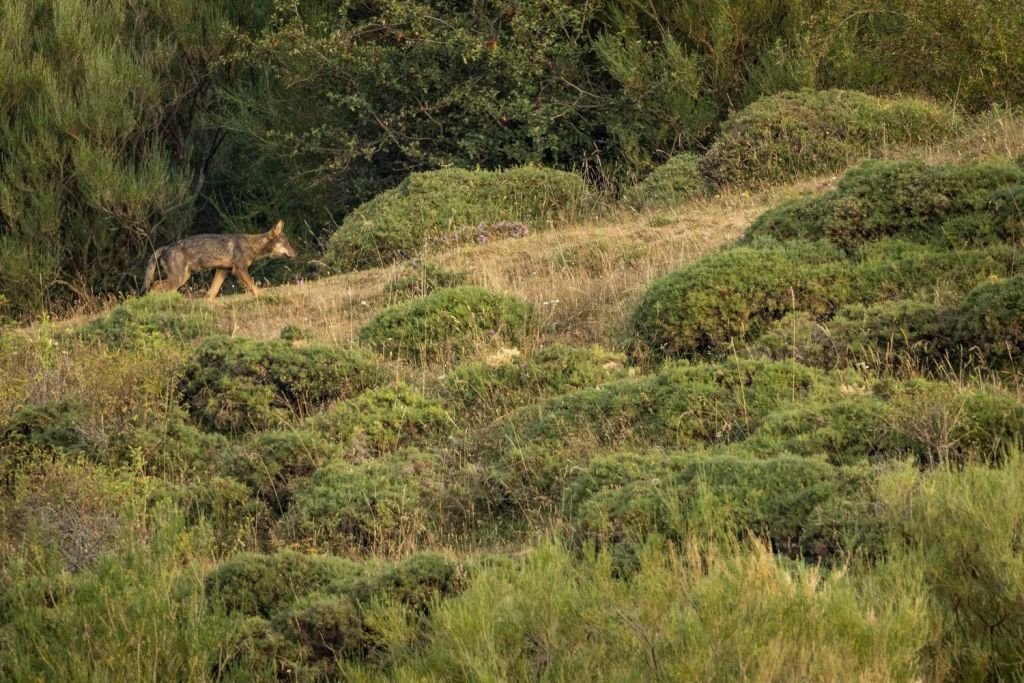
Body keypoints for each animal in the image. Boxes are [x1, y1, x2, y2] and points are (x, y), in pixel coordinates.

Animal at [140, 222, 294, 299]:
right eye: (287, 244)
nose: (295, 253)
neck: (251, 245)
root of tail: (165, 247)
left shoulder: (222, 271)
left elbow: (212, 293)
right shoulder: (239, 270)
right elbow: (254, 287)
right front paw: (264, 296)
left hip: (181, 278)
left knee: (157, 286)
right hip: (179, 278)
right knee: (155, 286)